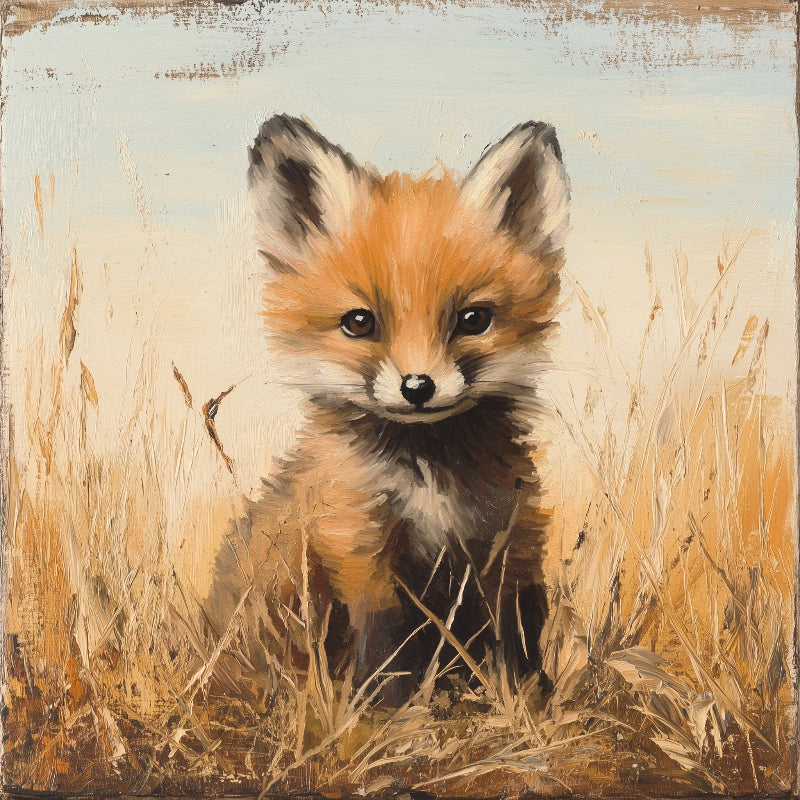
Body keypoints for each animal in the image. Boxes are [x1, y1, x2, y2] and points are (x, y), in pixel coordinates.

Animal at [208, 115, 569, 699]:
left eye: (473, 319)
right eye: (360, 322)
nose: (418, 386)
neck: (428, 477)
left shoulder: (506, 538)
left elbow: (515, 635)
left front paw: (526, 699)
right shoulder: (357, 544)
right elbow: (385, 641)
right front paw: (390, 707)